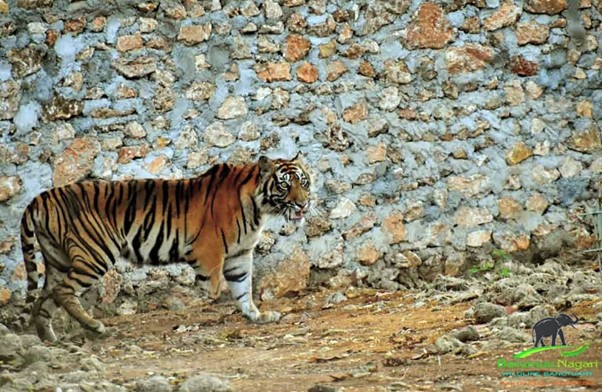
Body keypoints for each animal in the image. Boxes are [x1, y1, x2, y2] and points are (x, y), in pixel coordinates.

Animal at [19, 153, 310, 340]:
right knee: (64, 292)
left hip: (58, 261)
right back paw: (96, 327)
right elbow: (216, 287)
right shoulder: (208, 251)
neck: (258, 208)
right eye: (284, 184)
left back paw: (49, 340)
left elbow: (243, 288)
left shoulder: (240, 254)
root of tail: (40, 197)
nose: (303, 203)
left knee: (45, 300)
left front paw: (257, 316)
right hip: (95, 254)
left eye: (304, 182)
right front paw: (210, 303)